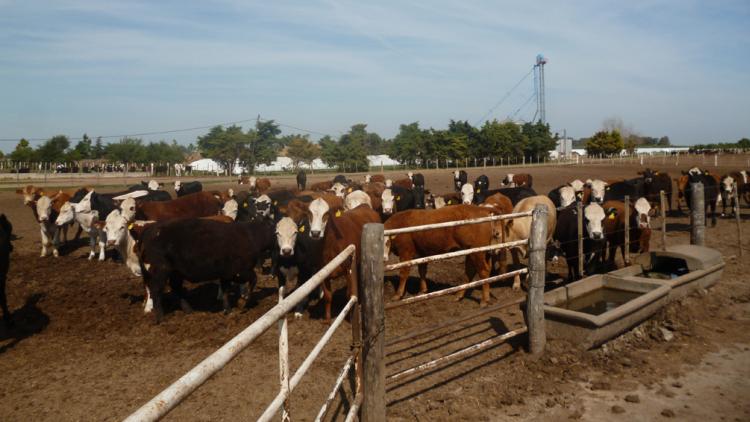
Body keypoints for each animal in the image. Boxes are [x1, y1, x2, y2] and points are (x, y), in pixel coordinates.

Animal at [136, 218, 276, 324]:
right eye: (276, 233)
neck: (250, 236)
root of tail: (150, 228)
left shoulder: (226, 274)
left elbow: (225, 290)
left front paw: (227, 310)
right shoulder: (240, 271)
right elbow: (253, 280)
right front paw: (244, 302)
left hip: (176, 273)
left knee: (176, 288)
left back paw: (189, 310)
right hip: (159, 272)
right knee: (156, 291)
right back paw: (161, 318)